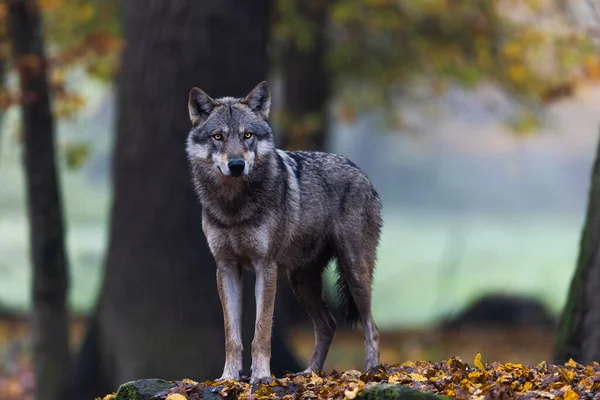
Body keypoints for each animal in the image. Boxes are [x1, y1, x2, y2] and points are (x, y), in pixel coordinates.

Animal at [185, 80, 382, 384]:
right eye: (218, 137)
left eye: (247, 135)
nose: (236, 165)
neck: (234, 206)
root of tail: (360, 171)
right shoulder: (226, 267)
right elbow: (232, 335)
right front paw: (229, 377)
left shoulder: (266, 266)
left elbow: (262, 331)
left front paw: (261, 377)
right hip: (301, 280)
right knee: (328, 324)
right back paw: (310, 374)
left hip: (354, 272)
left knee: (371, 325)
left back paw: (371, 372)